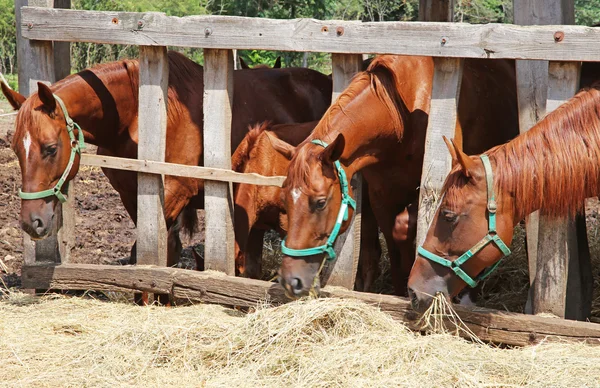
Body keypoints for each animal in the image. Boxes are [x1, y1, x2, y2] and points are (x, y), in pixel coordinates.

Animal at [0, 50, 330, 284]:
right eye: (15, 147)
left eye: (50, 148)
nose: (32, 221)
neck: (135, 116)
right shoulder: (132, 195)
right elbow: (161, 249)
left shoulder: (175, 192)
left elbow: (154, 251)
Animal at [270, 55, 516, 298]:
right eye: (284, 200)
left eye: (320, 202)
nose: (291, 280)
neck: (399, 118)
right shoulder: (381, 197)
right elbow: (394, 244)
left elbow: (403, 228)